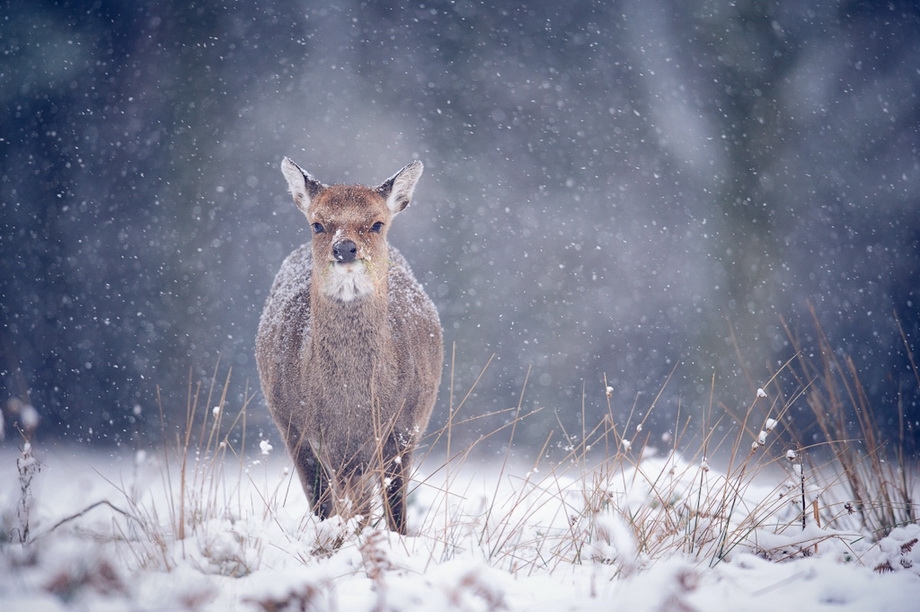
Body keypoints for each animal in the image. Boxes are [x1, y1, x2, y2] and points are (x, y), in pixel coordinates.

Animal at [256, 155, 444, 532]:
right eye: (317, 224)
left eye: (376, 224)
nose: (344, 248)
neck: (351, 408)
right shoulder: (295, 427)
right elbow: (323, 505)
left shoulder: (404, 427)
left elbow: (396, 511)